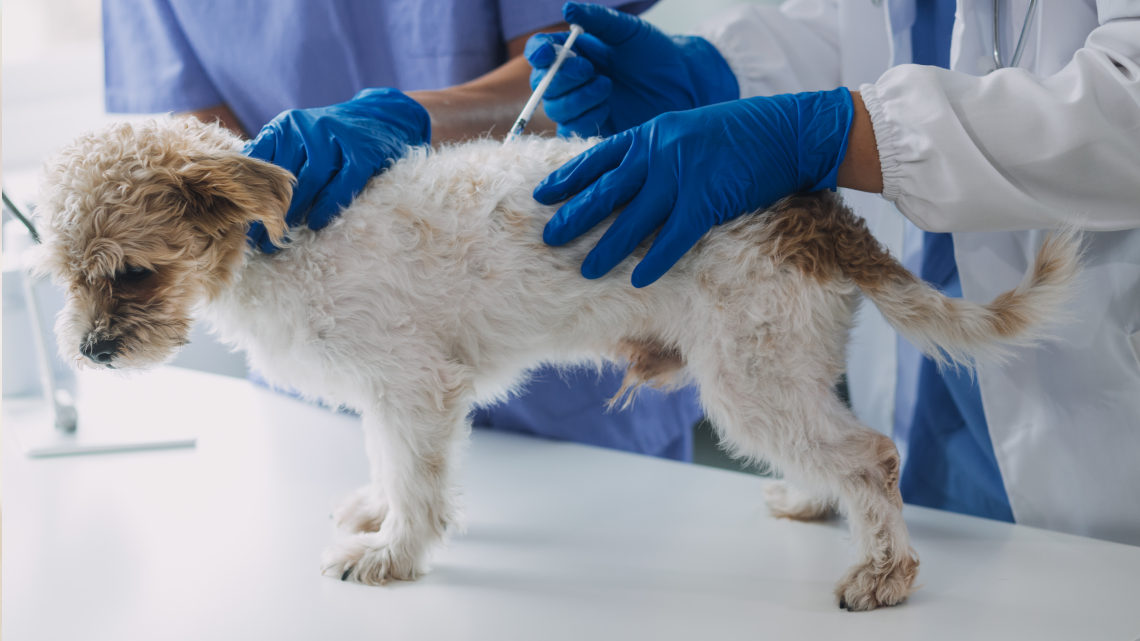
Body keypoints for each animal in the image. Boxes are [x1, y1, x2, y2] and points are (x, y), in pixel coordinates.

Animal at [33, 115, 1076, 606]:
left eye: (129, 273)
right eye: (67, 274)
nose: (90, 352)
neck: (279, 241)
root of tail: (814, 208)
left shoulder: (413, 387)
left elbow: (417, 483)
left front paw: (392, 553)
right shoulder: (390, 395)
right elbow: (387, 465)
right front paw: (377, 511)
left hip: (747, 381)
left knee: (875, 454)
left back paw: (885, 571)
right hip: (783, 365)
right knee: (840, 447)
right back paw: (816, 503)